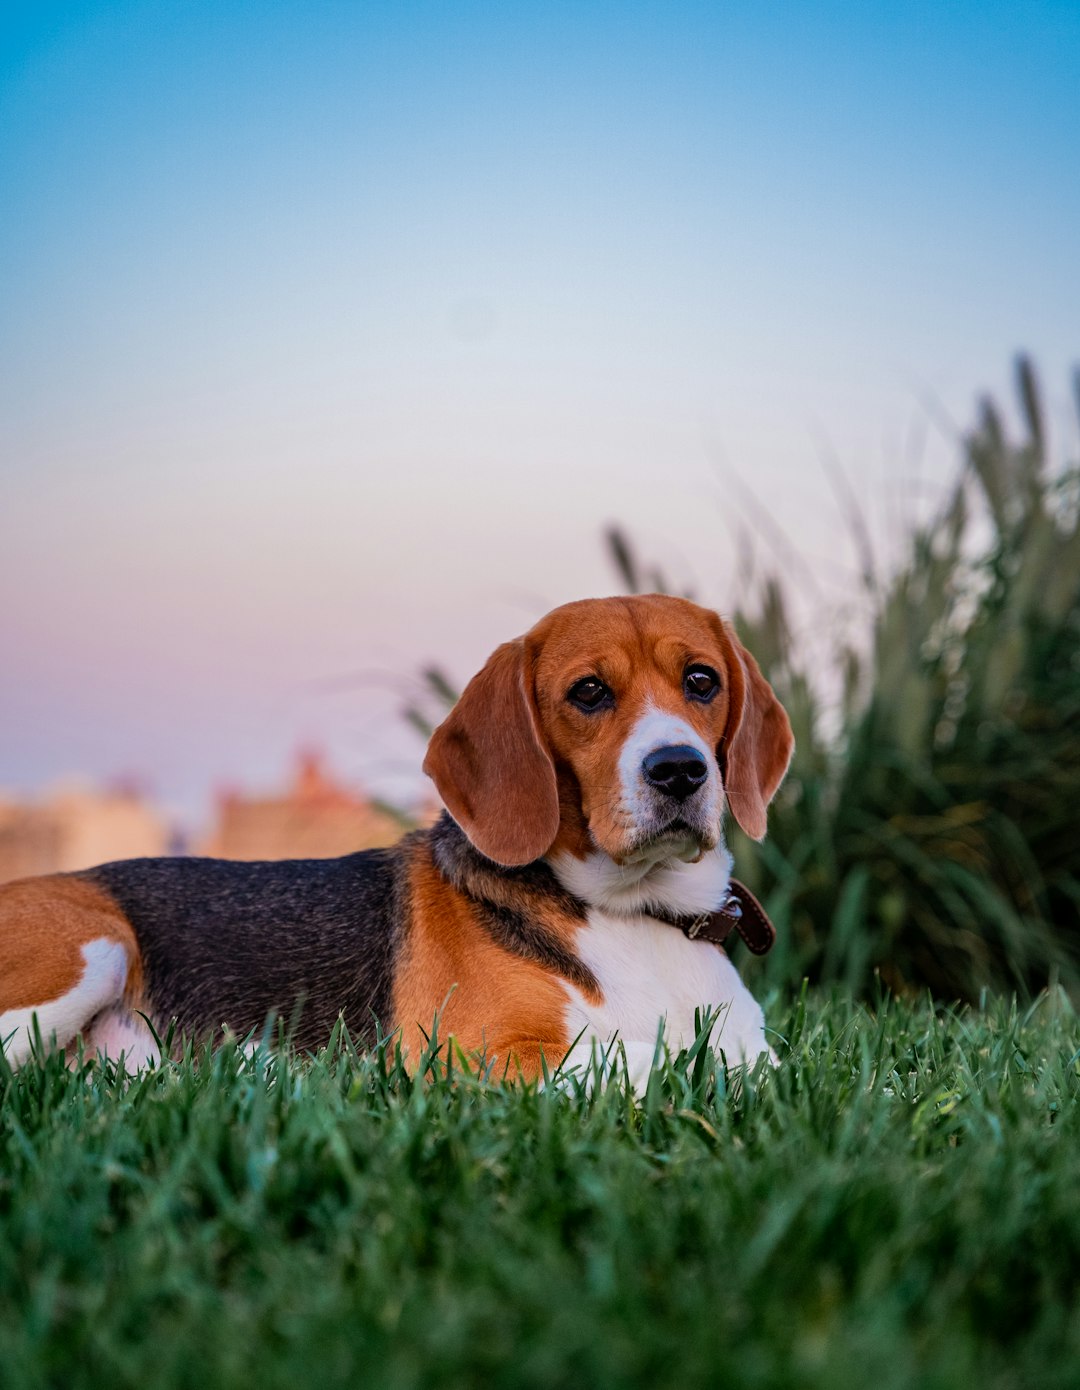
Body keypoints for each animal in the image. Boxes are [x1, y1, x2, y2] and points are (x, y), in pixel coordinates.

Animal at [0, 592, 789, 1078]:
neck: (639, 913)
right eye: (588, 692)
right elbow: (656, 1062)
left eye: (701, 680)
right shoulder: (483, 1055)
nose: (679, 769)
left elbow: (759, 1069)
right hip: (94, 944)